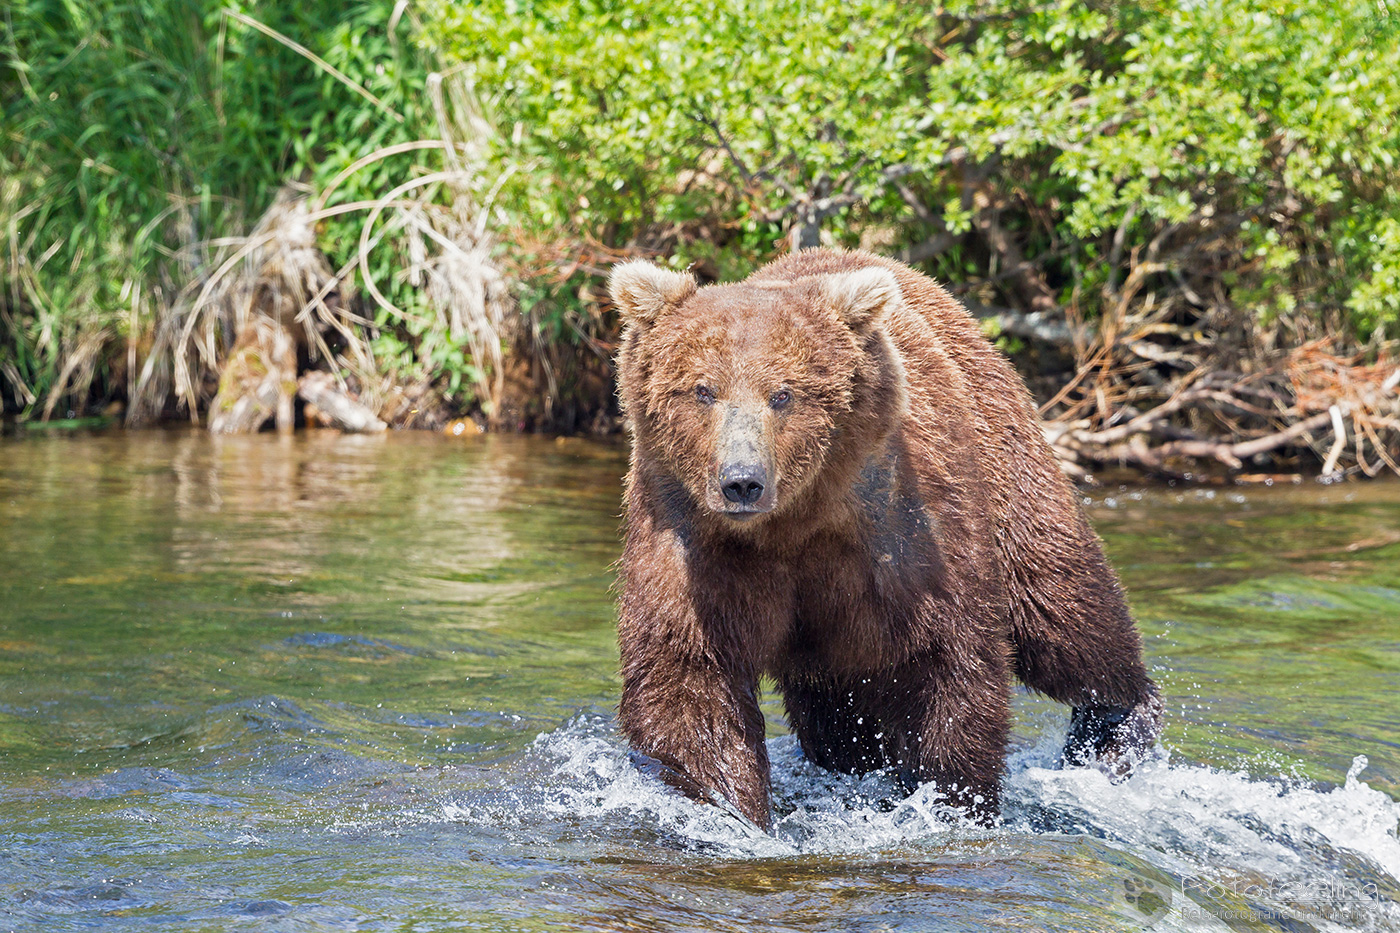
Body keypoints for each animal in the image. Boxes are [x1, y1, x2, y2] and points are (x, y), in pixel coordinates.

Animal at [608, 248, 1162, 829]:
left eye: (783, 393)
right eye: (702, 390)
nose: (741, 481)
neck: (795, 521)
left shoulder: (898, 530)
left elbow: (948, 660)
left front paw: (948, 797)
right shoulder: (693, 540)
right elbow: (690, 674)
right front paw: (728, 807)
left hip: (1006, 457)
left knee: (1058, 607)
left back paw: (1117, 722)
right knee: (835, 711)